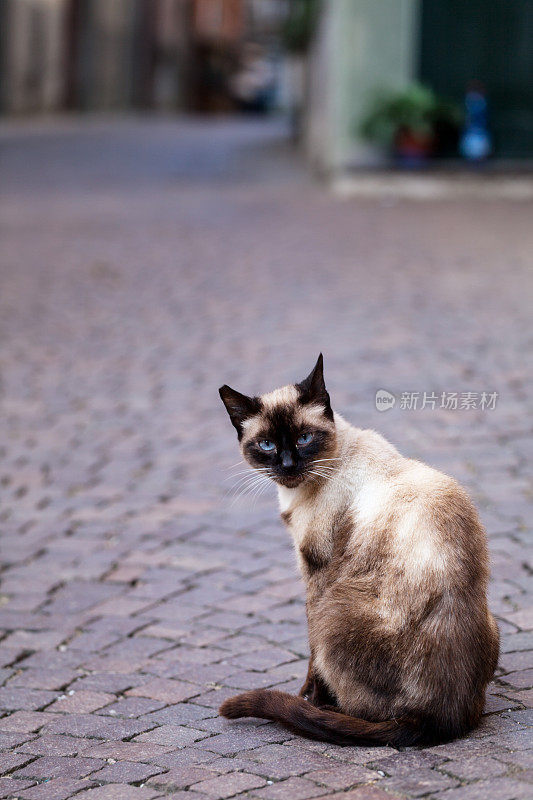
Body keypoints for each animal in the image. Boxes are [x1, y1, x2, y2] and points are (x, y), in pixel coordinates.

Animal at [217, 356, 498, 744]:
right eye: (267, 445)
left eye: (304, 438)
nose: (288, 466)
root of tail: (440, 720)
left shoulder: (316, 571)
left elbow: (311, 655)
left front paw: (309, 697)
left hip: (333, 611)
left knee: (359, 706)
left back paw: (327, 709)